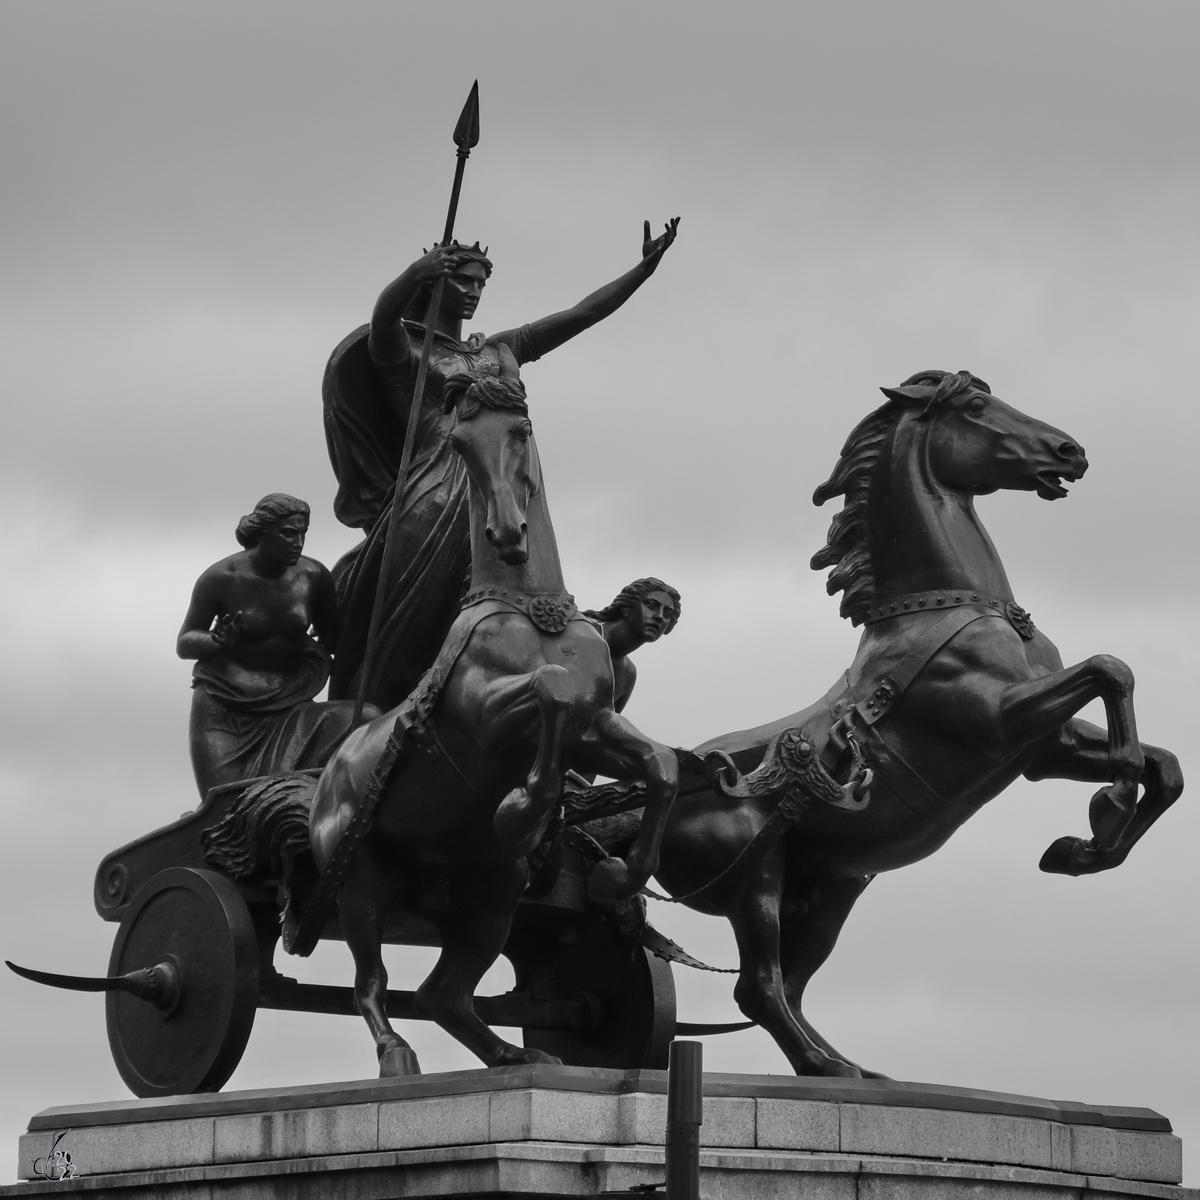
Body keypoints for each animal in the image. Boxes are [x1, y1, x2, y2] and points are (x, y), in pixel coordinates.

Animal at [309, 350, 681, 1075]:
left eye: (521, 430)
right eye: (457, 442)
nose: (507, 533)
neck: (535, 614)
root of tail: (328, 774)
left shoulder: (598, 728)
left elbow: (660, 763)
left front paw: (620, 875)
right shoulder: (485, 717)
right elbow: (550, 690)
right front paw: (523, 809)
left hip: (488, 894)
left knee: (443, 994)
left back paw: (515, 1053)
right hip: (359, 883)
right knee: (372, 982)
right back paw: (395, 1053)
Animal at [648, 367, 1180, 1080]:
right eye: (977, 405)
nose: (1071, 451)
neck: (952, 608)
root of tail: (668, 782)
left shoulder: (1043, 749)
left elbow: (1165, 765)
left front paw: (1082, 850)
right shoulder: (999, 721)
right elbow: (1111, 670)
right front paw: (1106, 809)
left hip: (829, 890)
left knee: (789, 987)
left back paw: (851, 1068)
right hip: (754, 884)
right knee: (758, 987)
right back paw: (827, 1068)